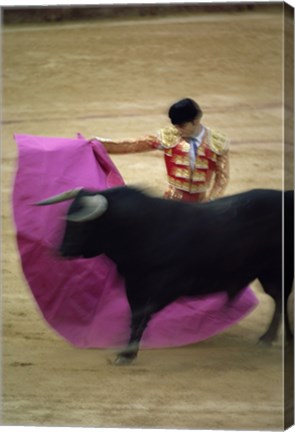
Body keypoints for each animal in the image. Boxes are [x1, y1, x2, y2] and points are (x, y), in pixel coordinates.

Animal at [37, 186, 294, 364]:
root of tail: (286, 197)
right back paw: (280, 339)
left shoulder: (169, 284)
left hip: (277, 270)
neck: (144, 230)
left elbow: (143, 314)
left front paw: (127, 353)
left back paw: (270, 338)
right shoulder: (135, 284)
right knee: (279, 299)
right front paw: (128, 349)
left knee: (281, 298)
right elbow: (135, 314)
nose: (60, 251)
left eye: (82, 226)